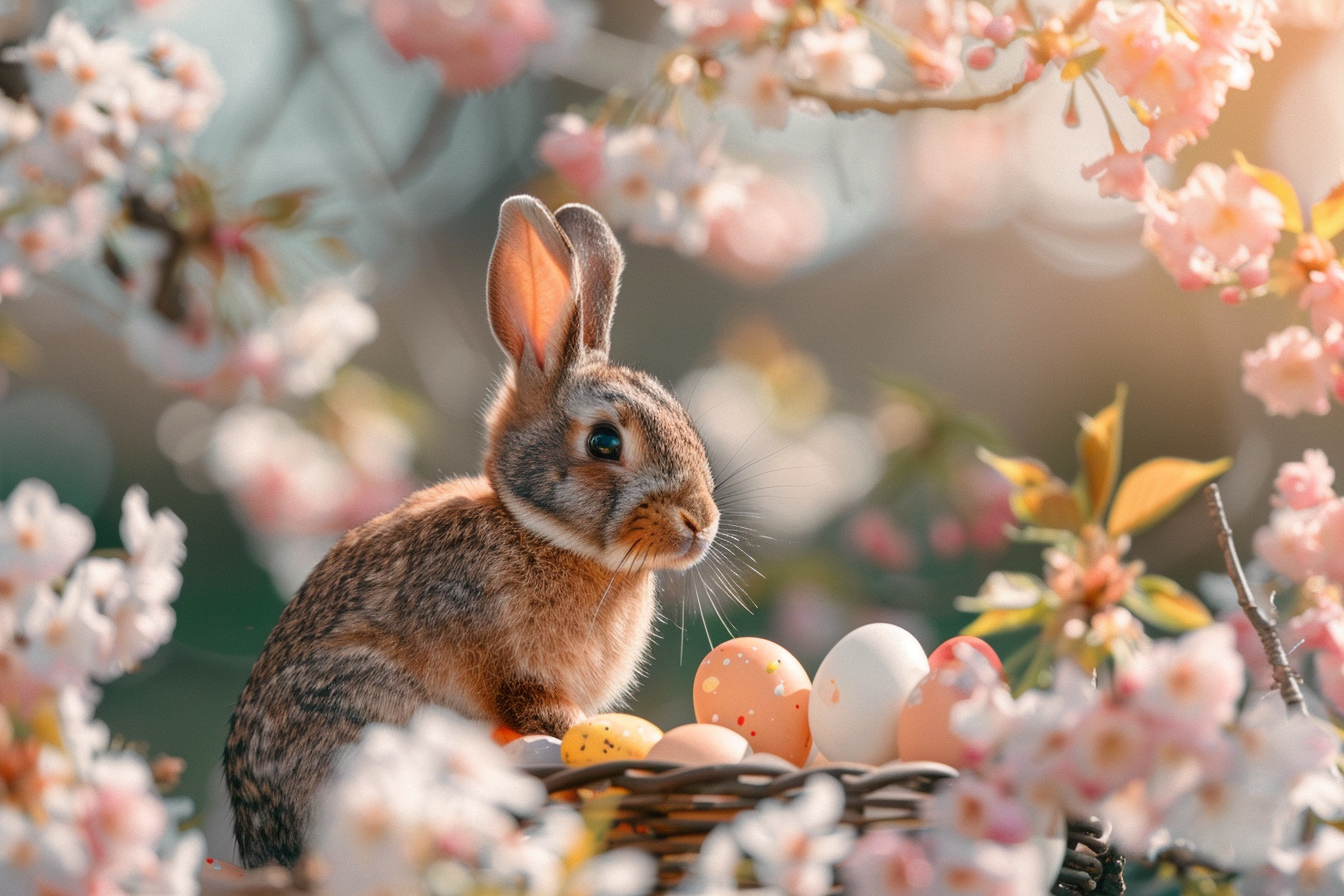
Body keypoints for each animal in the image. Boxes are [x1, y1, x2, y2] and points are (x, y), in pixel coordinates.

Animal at [222, 196, 721, 870]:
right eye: (604, 442)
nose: (700, 523)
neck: (542, 533)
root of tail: (266, 847)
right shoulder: (511, 671)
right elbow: (543, 715)